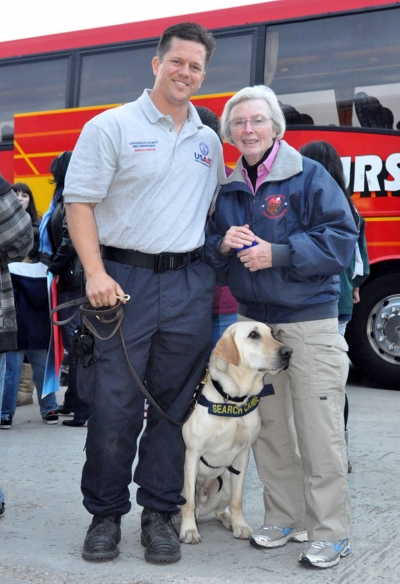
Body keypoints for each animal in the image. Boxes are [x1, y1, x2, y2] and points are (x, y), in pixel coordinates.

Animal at [180, 320, 292, 544]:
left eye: (272, 333)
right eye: (253, 335)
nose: (288, 352)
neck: (232, 399)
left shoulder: (242, 455)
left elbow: (237, 499)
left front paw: (240, 525)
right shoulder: (193, 453)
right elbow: (188, 502)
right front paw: (189, 530)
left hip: (225, 480)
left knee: (220, 508)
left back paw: (228, 519)